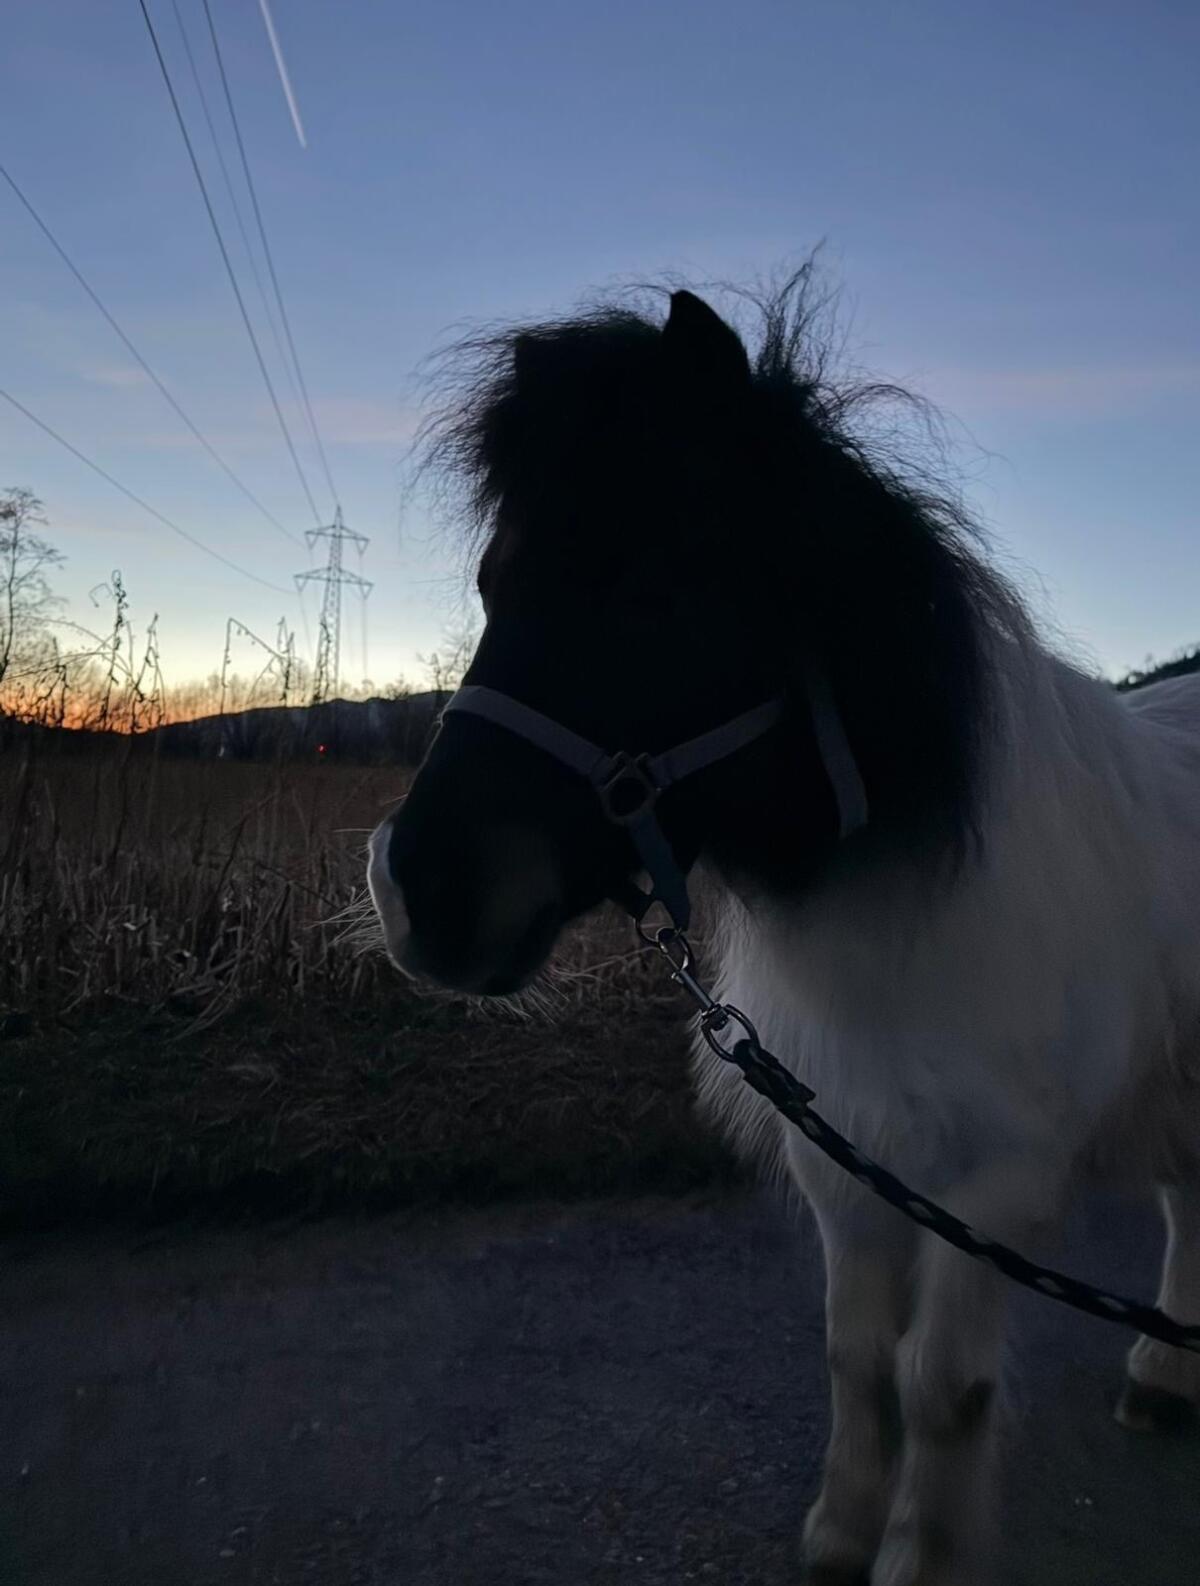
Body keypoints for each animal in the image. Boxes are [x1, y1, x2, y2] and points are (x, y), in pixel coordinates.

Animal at [367, 271, 1200, 1585]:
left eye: (657, 591)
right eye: (496, 584)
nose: (415, 891)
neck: (918, 907)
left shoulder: (996, 1183)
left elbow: (942, 1383)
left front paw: (915, 1555)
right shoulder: (848, 1158)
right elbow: (857, 1359)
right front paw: (841, 1533)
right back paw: (1167, 1372)